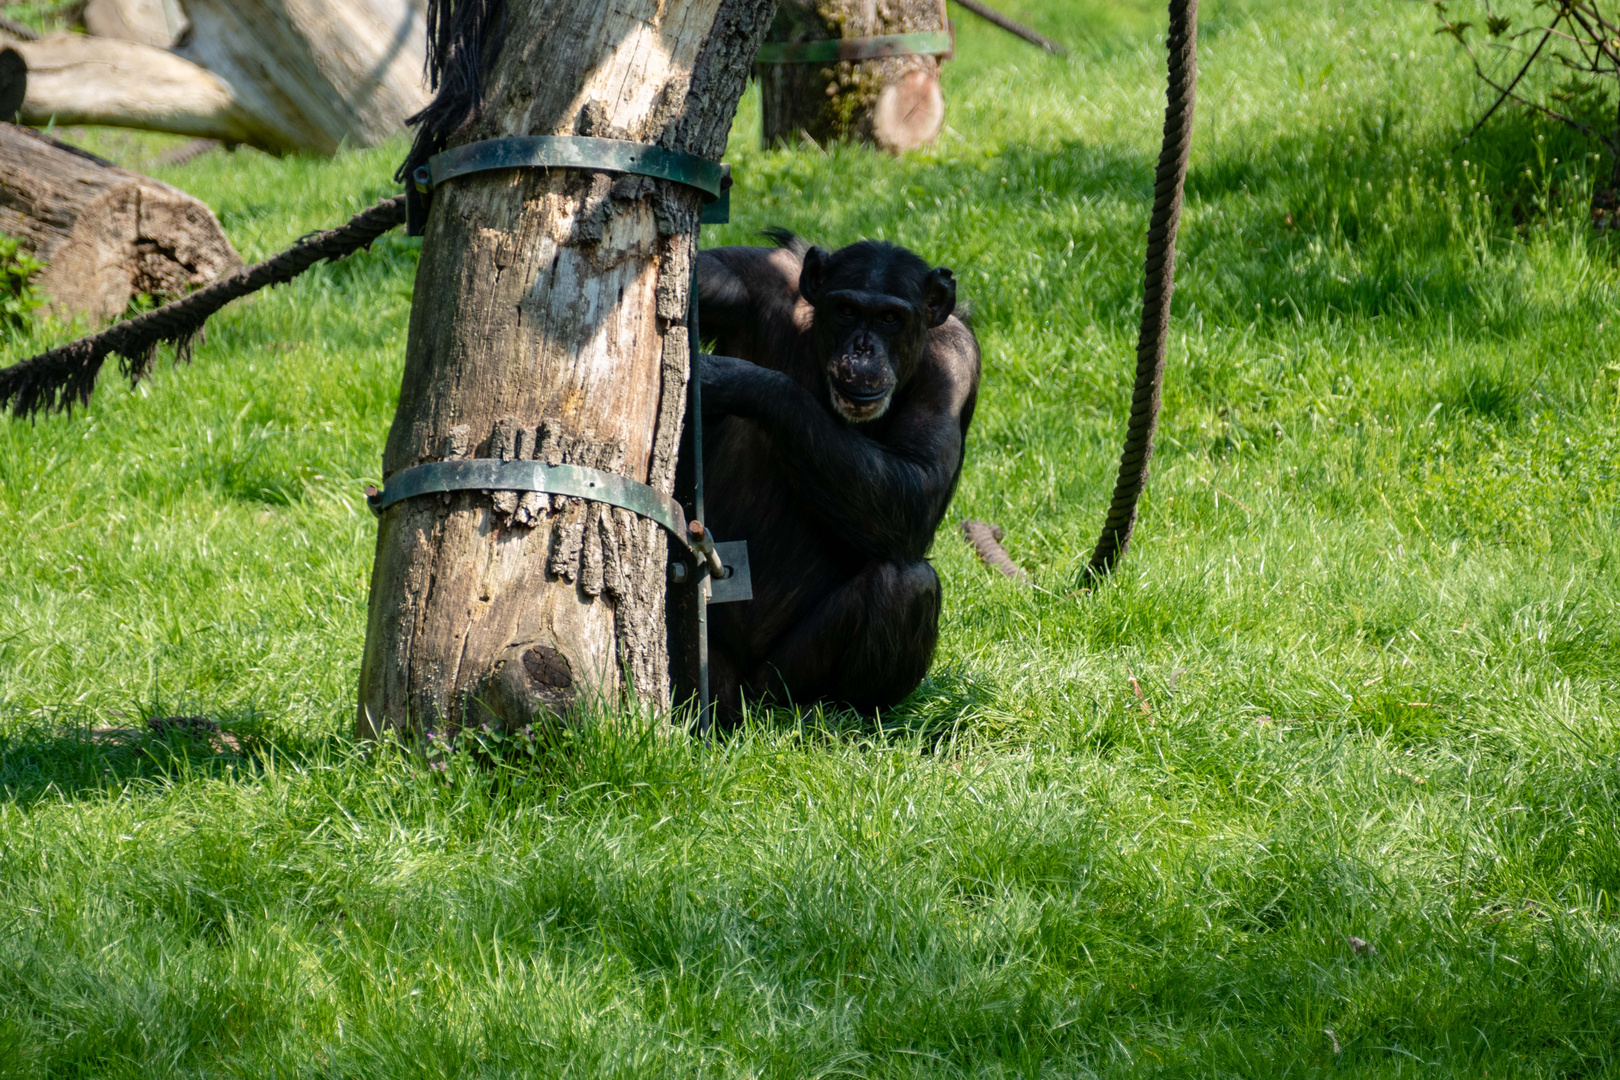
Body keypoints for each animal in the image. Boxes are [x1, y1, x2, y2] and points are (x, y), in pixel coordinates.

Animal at [693, 226, 978, 718]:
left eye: (890, 318)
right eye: (847, 311)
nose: (862, 349)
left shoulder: (952, 365)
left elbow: (918, 489)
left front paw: (742, 382)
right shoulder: (757, 276)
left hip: (780, 685)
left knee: (907, 582)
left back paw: (843, 716)